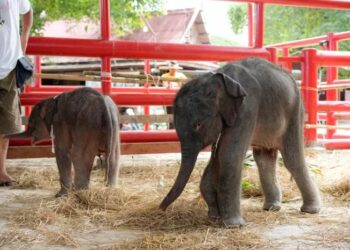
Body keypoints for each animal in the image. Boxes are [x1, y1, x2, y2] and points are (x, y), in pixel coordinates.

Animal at [160, 57, 322, 228]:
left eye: (198, 125)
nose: (161, 208)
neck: (217, 78)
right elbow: (218, 156)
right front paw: (214, 216)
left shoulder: (247, 108)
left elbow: (229, 155)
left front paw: (233, 225)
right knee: (264, 159)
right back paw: (271, 208)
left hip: (295, 112)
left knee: (292, 159)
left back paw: (310, 210)